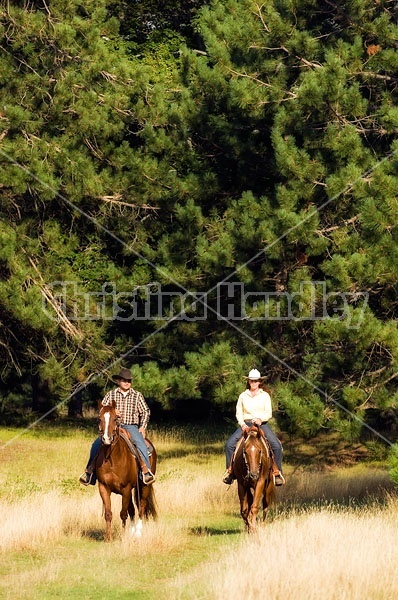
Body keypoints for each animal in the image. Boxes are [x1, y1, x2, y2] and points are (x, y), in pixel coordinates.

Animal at [95, 400, 158, 540]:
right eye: (99, 419)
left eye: (115, 418)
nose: (106, 439)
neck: (112, 458)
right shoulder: (103, 487)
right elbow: (109, 513)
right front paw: (108, 538)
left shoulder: (126, 488)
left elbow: (123, 513)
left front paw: (123, 537)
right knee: (132, 509)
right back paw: (132, 531)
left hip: (144, 486)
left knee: (141, 506)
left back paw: (138, 532)